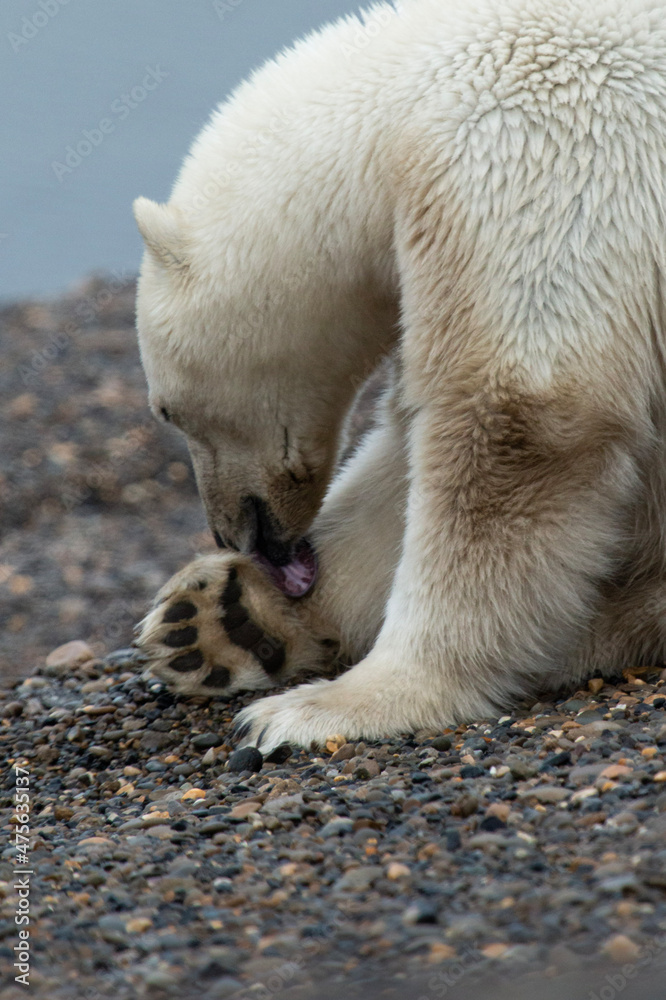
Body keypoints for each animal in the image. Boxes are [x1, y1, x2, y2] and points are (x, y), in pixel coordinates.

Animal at [133, 0, 666, 751]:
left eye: (166, 410)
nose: (229, 536)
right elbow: (407, 442)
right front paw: (223, 616)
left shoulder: (542, 151)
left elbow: (516, 422)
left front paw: (343, 701)